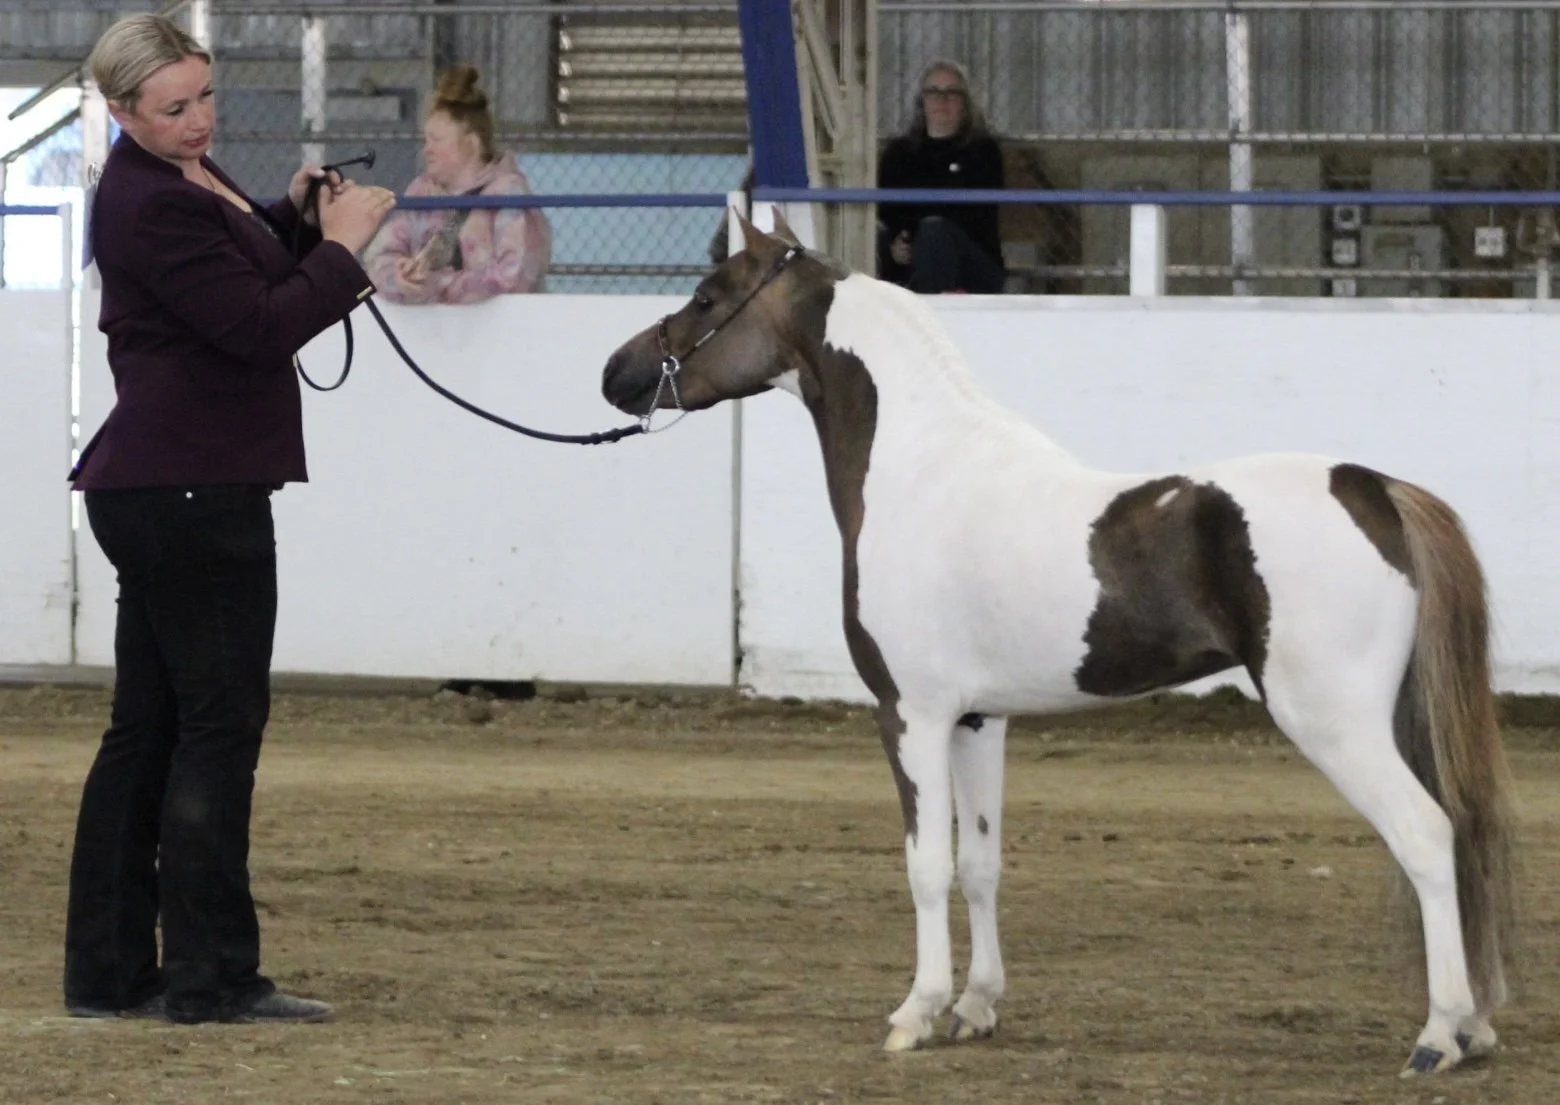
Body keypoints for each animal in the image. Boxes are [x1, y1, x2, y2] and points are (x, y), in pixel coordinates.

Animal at [600, 210, 1518, 1076]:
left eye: (708, 296)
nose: (617, 374)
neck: (921, 469)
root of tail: (1377, 489)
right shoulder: (978, 720)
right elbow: (980, 861)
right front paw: (975, 1007)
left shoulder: (911, 713)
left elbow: (926, 863)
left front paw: (915, 1012)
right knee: (1461, 840)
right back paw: (1474, 1027)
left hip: (1334, 721)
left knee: (1426, 836)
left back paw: (1437, 1035)